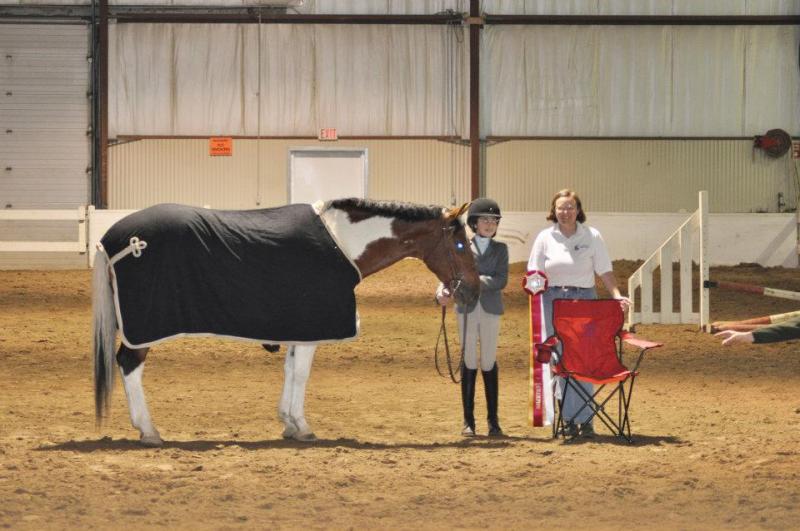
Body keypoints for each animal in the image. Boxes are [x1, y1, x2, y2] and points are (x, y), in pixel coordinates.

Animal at [92, 198, 480, 445]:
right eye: (461, 244)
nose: (474, 292)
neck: (343, 244)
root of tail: (112, 240)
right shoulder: (312, 328)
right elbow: (302, 374)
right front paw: (302, 426)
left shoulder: (298, 327)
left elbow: (291, 371)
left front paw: (288, 423)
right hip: (143, 330)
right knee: (129, 364)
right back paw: (148, 431)